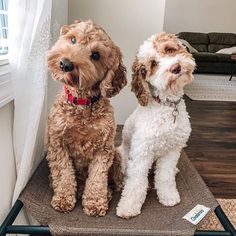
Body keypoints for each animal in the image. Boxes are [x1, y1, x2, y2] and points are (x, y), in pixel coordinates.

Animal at [46, 20, 127, 216]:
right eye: (73, 39)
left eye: (96, 55)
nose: (65, 63)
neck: (81, 102)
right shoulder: (58, 144)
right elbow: (64, 174)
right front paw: (63, 199)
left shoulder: (103, 149)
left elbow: (97, 178)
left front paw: (95, 202)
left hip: (116, 157)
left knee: (112, 183)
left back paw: (106, 193)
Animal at [116, 32, 195, 218]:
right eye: (153, 64)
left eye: (169, 49)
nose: (176, 68)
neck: (167, 106)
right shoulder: (142, 153)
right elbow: (136, 182)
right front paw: (128, 207)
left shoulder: (172, 151)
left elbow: (165, 177)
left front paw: (169, 197)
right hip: (123, 155)